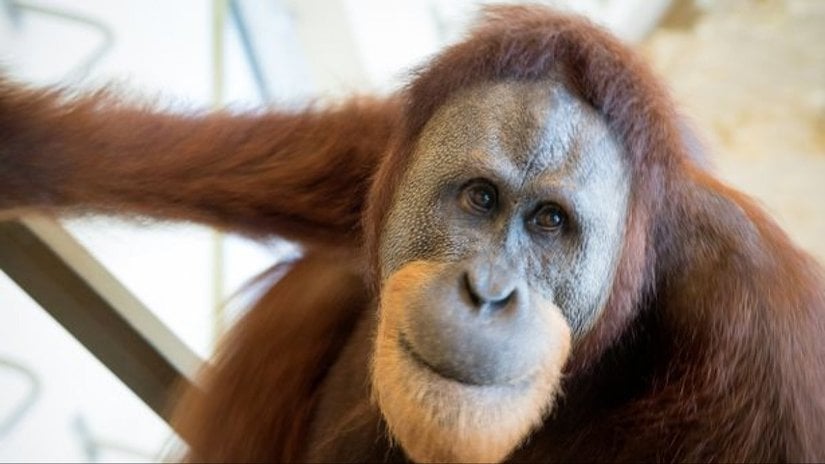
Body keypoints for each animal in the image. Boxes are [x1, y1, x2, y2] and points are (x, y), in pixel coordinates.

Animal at [1, 5, 824, 463]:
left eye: (549, 222)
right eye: (480, 199)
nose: (486, 291)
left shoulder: (764, 342)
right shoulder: (387, 151)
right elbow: (274, 159)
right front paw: (22, 140)